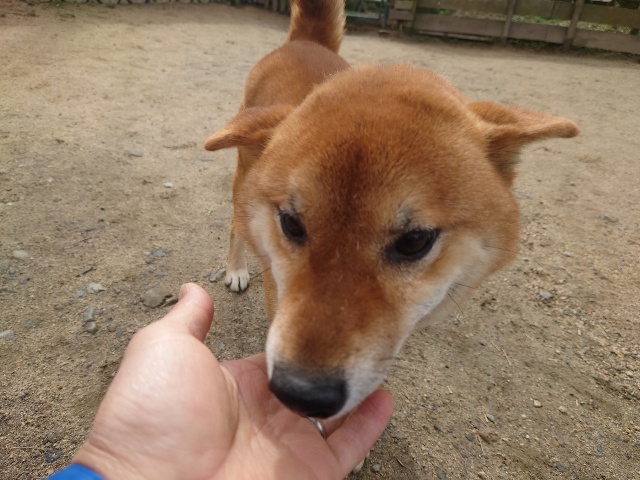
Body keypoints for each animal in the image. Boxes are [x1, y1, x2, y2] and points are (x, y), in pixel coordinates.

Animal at [204, 0, 578, 420]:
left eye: (415, 241)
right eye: (291, 224)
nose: (300, 394)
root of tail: (305, 41)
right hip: (242, 173)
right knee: (235, 224)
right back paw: (237, 270)